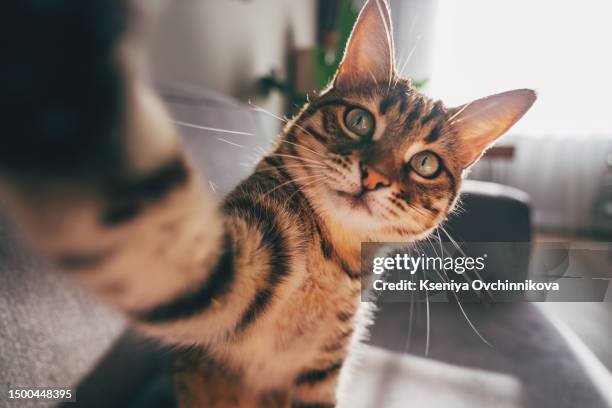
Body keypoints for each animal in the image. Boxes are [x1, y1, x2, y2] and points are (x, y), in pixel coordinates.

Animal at [0, 0, 536, 408]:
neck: (333, 258)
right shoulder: (229, 273)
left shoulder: (318, 372)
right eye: (360, 120)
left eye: (425, 163)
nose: (374, 177)